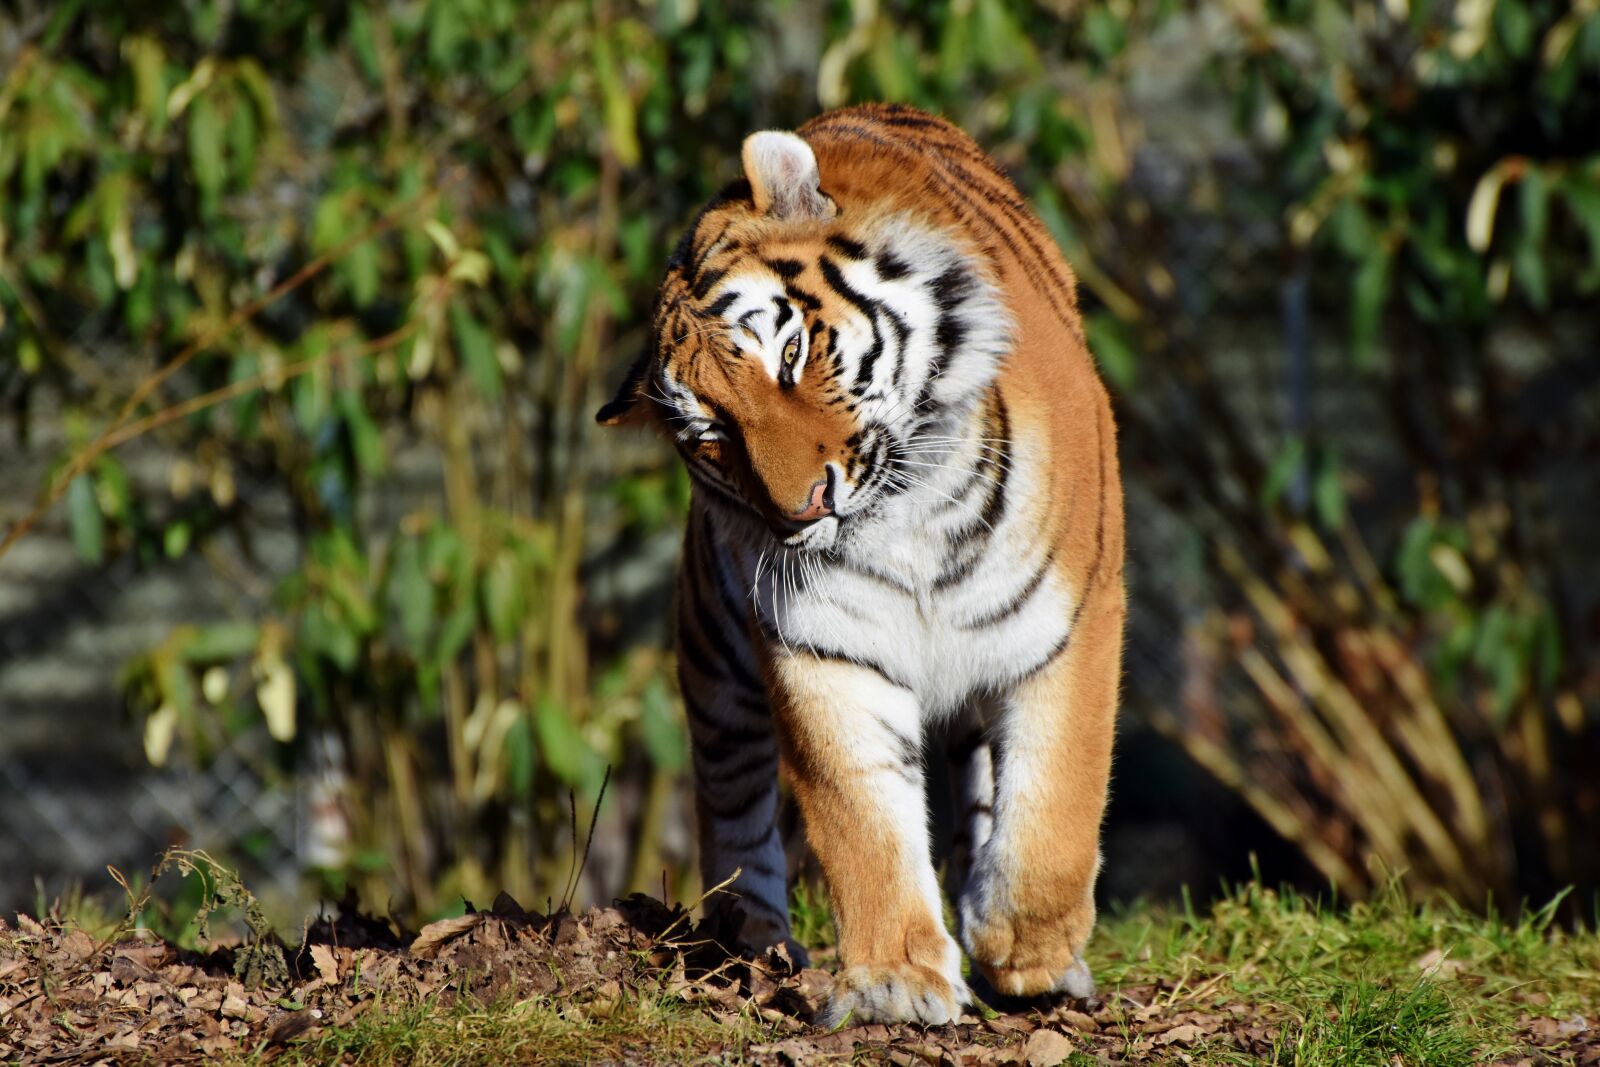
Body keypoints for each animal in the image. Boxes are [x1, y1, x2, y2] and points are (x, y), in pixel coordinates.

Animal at [597, 103, 1125, 1026]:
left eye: (789, 356)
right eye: (711, 435)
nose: (803, 507)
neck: (904, 513)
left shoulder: (1071, 617)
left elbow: (1057, 794)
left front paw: (1026, 951)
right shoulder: (823, 647)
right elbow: (862, 813)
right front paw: (898, 981)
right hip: (715, 656)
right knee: (730, 795)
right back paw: (751, 939)